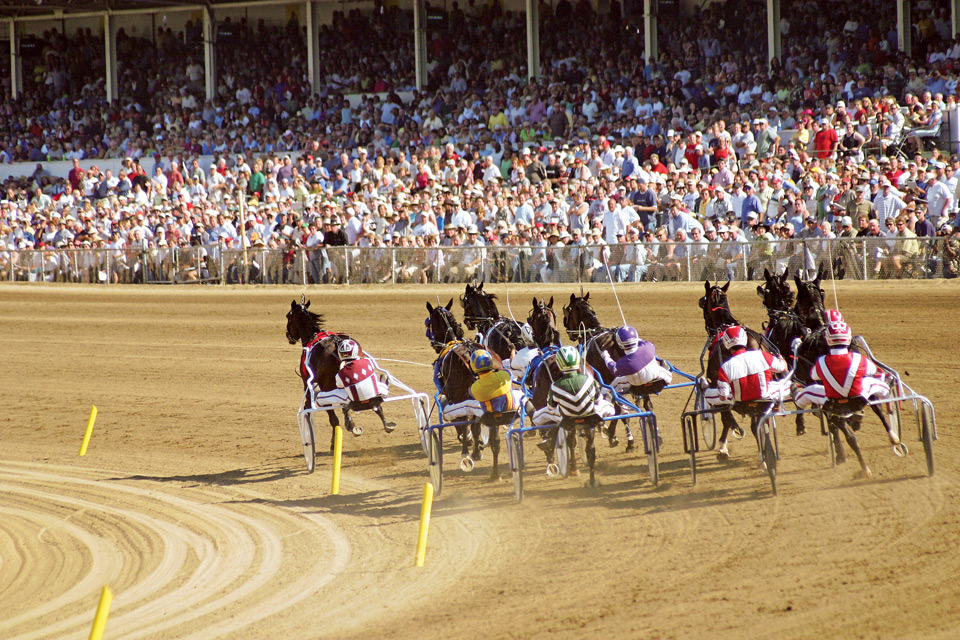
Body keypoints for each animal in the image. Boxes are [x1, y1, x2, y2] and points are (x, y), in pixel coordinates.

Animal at [284, 296, 394, 450]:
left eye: (288, 317)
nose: (288, 335)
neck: (313, 336)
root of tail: (336, 344)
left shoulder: (307, 381)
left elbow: (315, 405)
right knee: (375, 404)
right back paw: (385, 422)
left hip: (325, 386)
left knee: (333, 416)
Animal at [426, 300, 502, 480]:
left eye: (429, 322)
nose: (434, 344)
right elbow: (475, 426)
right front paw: (478, 447)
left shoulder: (455, 397)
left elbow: (462, 423)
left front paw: (468, 446)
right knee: (494, 438)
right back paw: (495, 472)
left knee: (466, 422)